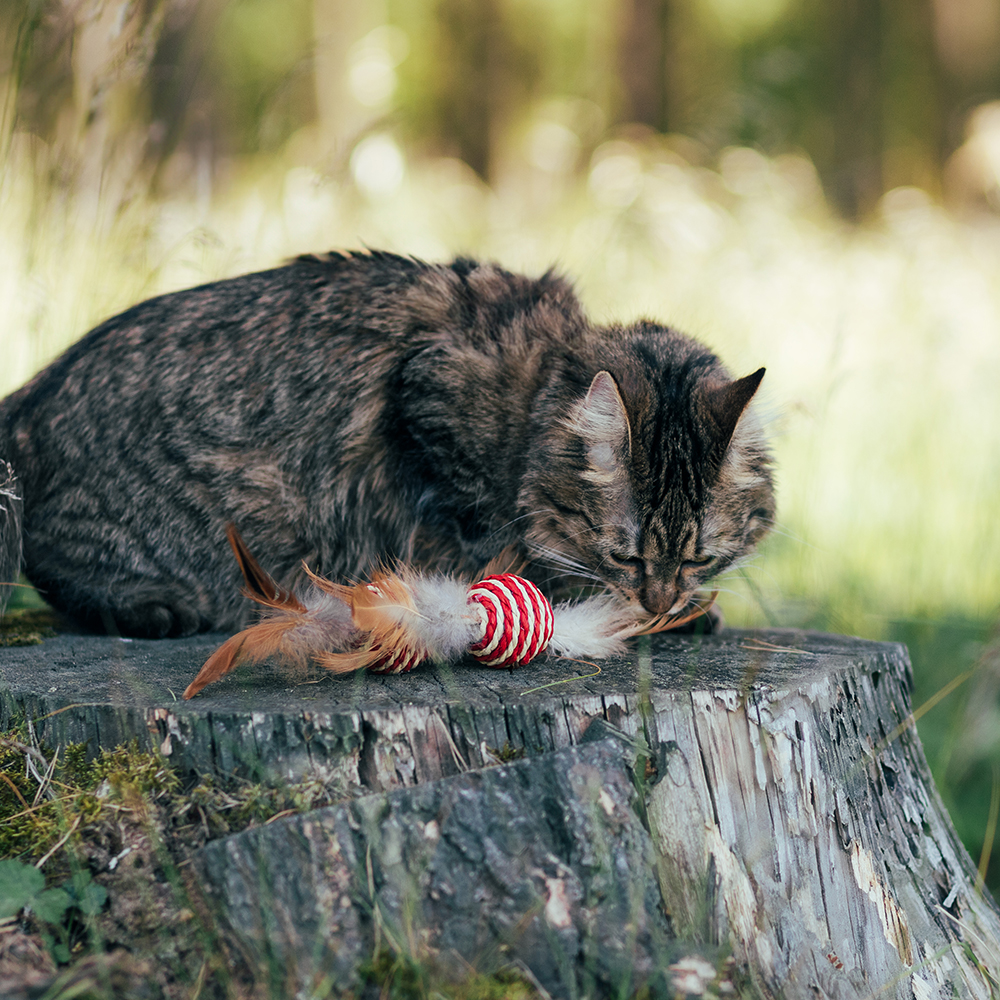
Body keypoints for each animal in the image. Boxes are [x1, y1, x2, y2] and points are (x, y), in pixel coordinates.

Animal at [0, 252, 772, 640]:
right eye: (626, 555)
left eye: (698, 555)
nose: (659, 602)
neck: (530, 398)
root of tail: (30, 392)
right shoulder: (426, 395)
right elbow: (508, 547)